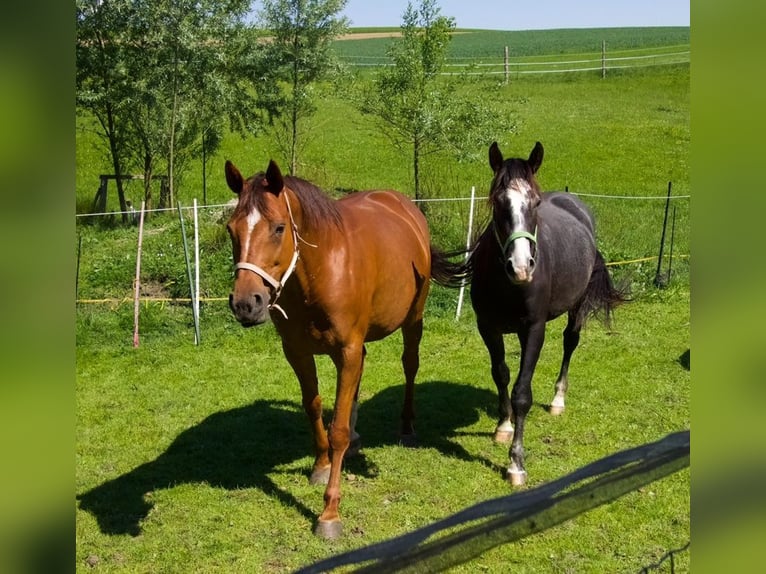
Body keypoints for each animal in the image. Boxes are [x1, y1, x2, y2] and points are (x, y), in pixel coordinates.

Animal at [224, 158, 462, 539]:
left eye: (278, 228)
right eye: (232, 230)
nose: (247, 303)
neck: (320, 273)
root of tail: (405, 206)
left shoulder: (346, 351)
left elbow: (335, 429)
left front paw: (329, 512)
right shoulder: (298, 352)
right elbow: (314, 408)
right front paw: (321, 464)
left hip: (413, 320)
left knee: (410, 365)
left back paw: (407, 427)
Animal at [468, 141, 626, 486]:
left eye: (535, 203)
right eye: (498, 201)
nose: (521, 266)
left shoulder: (534, 329)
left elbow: (522, 393)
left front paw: (515, 463)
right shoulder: (488, 327)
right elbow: (501, 374)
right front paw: (504, 426)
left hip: (576, 308)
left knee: (570, 342)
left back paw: (557, 400)